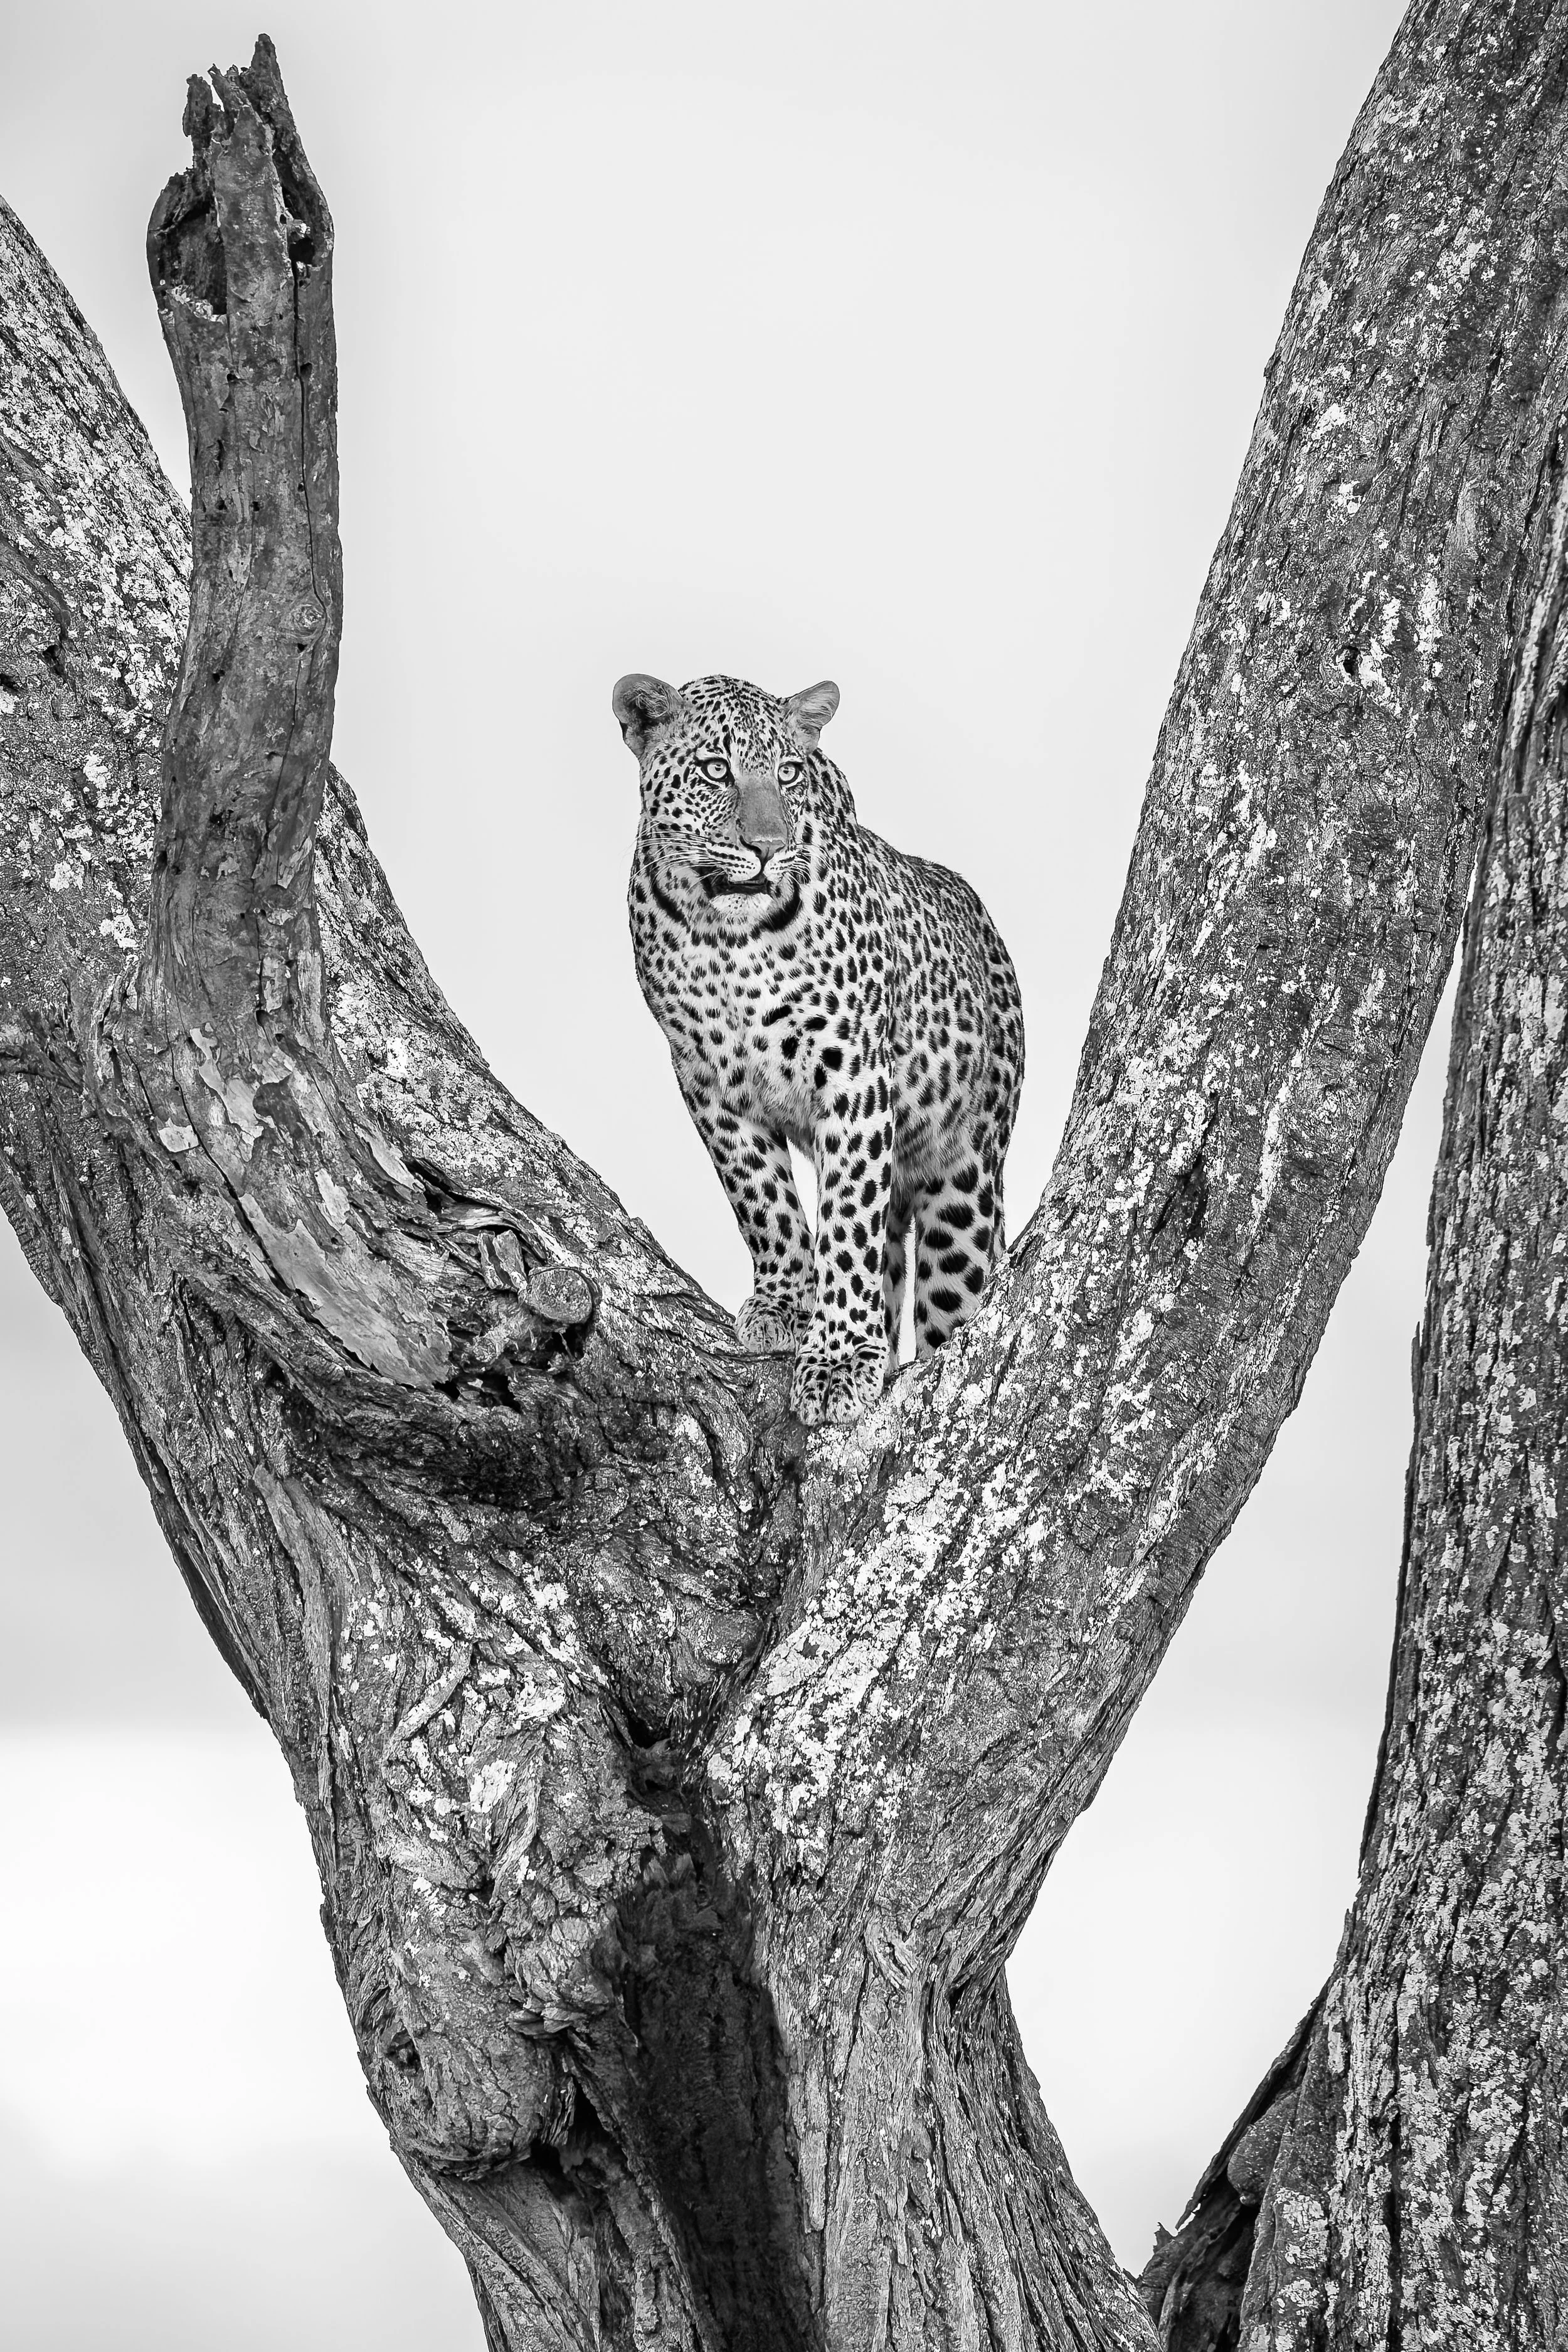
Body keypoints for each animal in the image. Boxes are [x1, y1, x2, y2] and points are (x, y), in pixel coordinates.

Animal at [615, 671, 1024, 1426]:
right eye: (716, 770)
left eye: (787, 772)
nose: (767, 845)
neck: (729, 940)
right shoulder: (707, 1079)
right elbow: (763, 1200)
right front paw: (785, 1304)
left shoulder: (852, 1073)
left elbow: (847, 1223)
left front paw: (838, 1358)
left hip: (966, 1184)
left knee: (953, 1303)